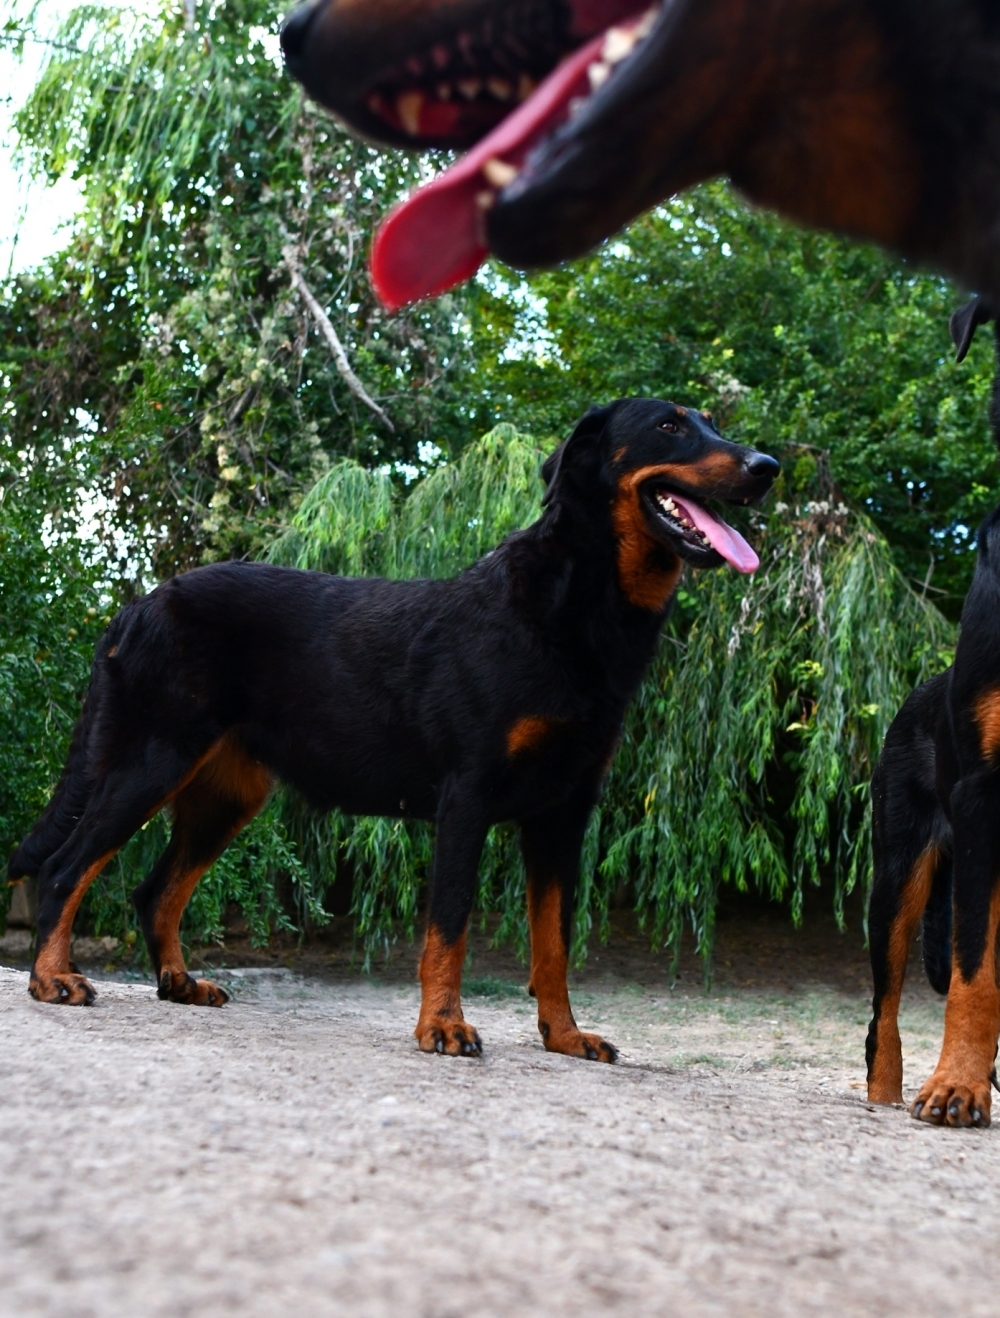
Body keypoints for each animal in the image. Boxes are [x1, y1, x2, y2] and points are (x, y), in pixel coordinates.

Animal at [3, 400, 779, 1059]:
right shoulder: (467, 798)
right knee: (66, 868)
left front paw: (563, 1036)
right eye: (670, 427)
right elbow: (450, 928)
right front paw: (443, 1026)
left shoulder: (563, 813)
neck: (574, 605)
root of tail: (135, 605)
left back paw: (177, 984)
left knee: (154, 890)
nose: (767, 465)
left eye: (712, 424)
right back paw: (51, 980)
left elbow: (554, 941)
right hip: (149, 761)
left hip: (223, 795)